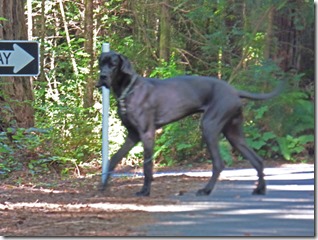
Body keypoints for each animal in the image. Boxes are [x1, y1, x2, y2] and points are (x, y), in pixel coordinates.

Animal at [96, 51, 284, 197]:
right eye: (101, 62)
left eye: (113, 64)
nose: (102, 76)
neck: (128, 90)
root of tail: (234, 91)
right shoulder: (133, 135)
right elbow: (113, 159)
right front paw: (103, 185)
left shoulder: (147, 134)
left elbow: (147, 165)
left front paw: (145, 190)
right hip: (234, 134)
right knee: (257, 160)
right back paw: (260, 189)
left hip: (209, 126)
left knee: (219, 163)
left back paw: (206, 190)